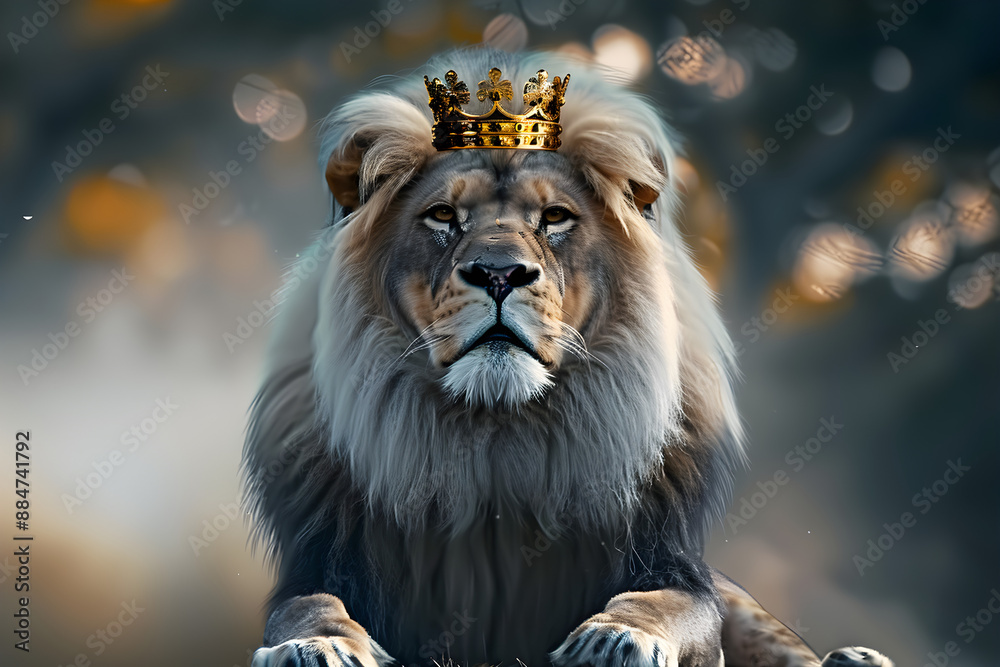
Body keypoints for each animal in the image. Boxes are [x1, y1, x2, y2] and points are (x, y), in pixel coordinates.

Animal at [243, 47, 893, 667]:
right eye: (443, 215)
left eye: (554, 217)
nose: (499, 273)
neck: (498, 440)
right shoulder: (323, 563)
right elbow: (309, 607)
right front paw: (317, 646)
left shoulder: (676, 569)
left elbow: (664, 605)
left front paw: (618, 637)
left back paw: (855, 658)